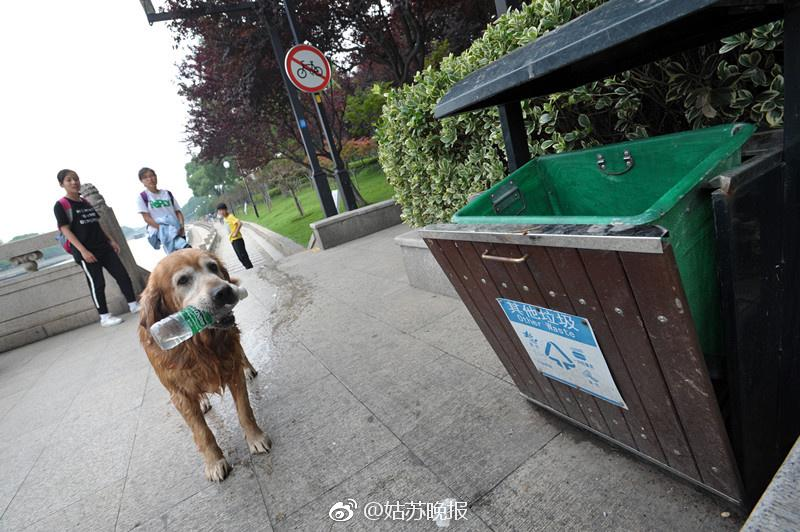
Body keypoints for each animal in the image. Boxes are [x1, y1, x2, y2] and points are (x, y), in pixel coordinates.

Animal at [138, 249, 272, 482]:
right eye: (183, 280)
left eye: (213, 267)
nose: (224, 291)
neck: (198, 345)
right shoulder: (179, 394)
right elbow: (202, 432)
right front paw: (214, 462)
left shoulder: (232, 369)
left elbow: (245, 410)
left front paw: (255, 438)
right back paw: (202, 403)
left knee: (242, 353)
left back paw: (249, 369)